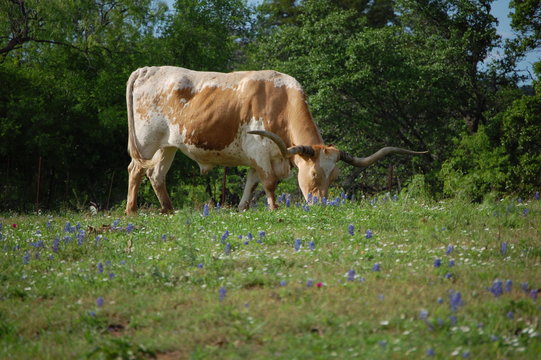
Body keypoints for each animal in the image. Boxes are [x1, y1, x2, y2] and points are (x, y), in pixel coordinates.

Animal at [125, 65, 422, 214]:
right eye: (314, 175)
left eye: (334, 177)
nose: (321, 205)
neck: (280, 102)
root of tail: (147, 69)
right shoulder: (260, 151)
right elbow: (268, 183)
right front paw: (274, 208)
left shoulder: (261, 157)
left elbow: (252, 184)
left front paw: (243, 208)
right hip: (147, 141)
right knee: (136, 170)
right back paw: (131, 211)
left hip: (167, 146)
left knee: (156, 174)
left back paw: (168, 210)